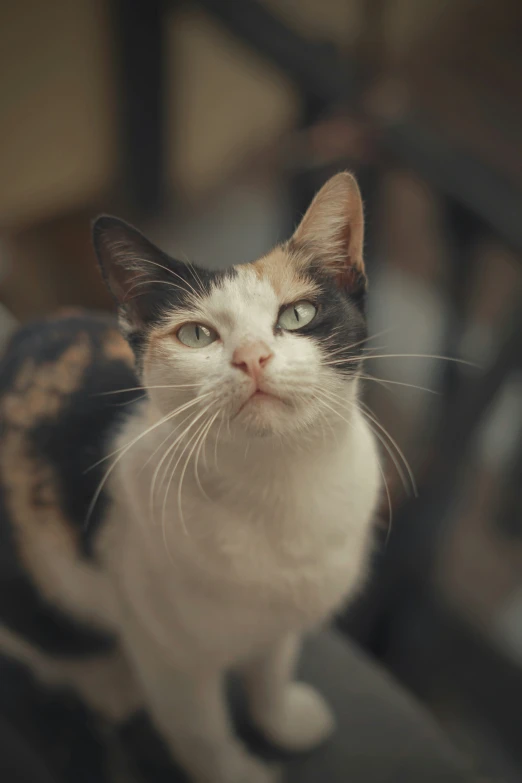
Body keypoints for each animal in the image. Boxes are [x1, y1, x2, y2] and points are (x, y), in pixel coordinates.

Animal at [0, 173, 378, 783]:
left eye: (297, 315)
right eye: (196, 335)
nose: (252, 357)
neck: (280, 483)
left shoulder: (280, 622)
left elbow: (271, 668)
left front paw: (283, 722)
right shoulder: (169, 660)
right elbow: (202, 733)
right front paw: (240, 772)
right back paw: (110, 686)